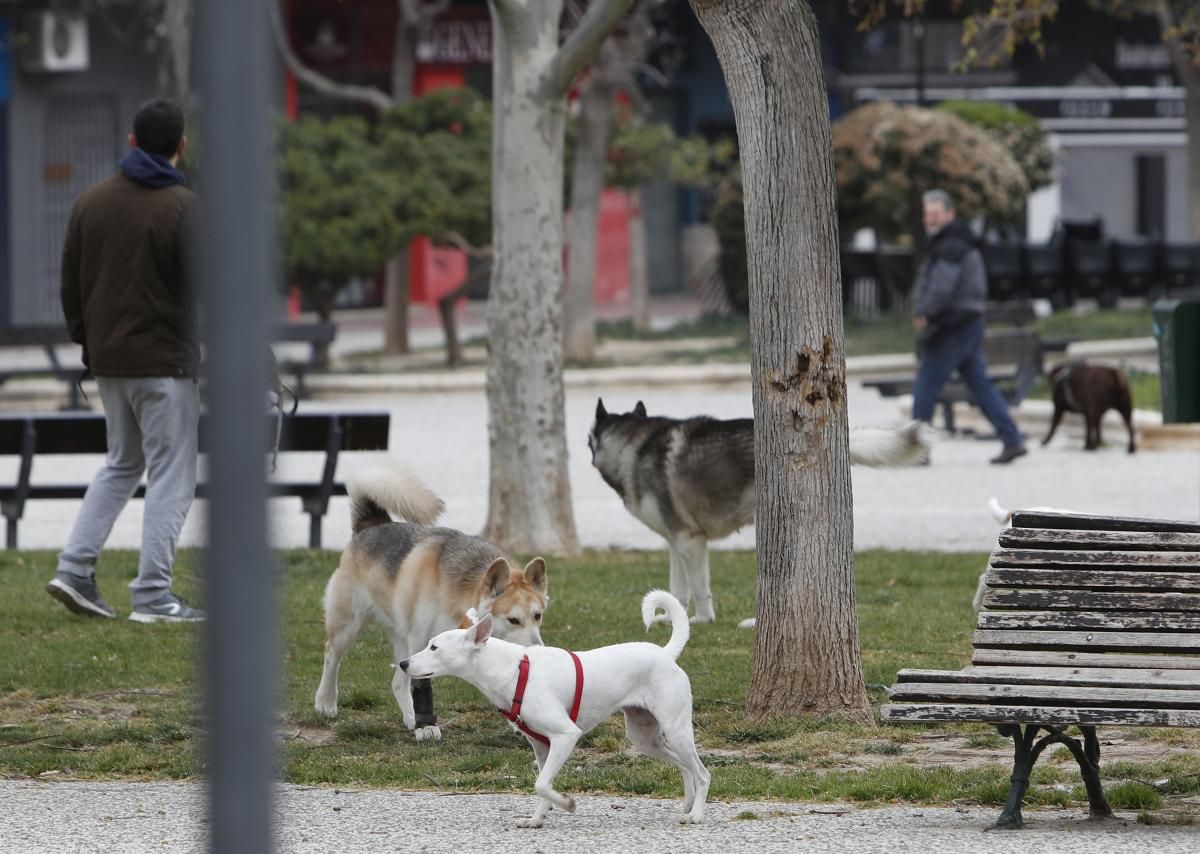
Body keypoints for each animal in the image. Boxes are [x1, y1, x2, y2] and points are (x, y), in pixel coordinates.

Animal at [312, 460, 549, 738]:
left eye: (537, 616)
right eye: (513, 620)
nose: (539, 649)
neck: (456, 591)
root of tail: (371, 525)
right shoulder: (420, 639)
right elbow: (421, 683)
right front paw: (426, 726)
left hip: (399, 636)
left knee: (397, 682)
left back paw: (409, 717)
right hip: (348, 625)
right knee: (332, 656)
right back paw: (326, 701)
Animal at [398, 590, 705, 825]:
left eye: (434, 647)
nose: (403, 663)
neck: (511, 670)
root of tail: (665, 654)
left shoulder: (565, 736)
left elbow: (541, 784)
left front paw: (568, 804)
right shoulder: (542, 746)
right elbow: (542, 786)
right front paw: (537, 819)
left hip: (676, 731)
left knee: (702, 773)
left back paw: (696, 814)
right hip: (644, 738)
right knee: (684, 766)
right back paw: (688, 803)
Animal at [590, 395, 926, 623]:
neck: (631, 446)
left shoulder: (689, 541)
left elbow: (699, 588)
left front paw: (703, 620)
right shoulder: (676, 543)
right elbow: (677, 589)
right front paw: (675, 618)